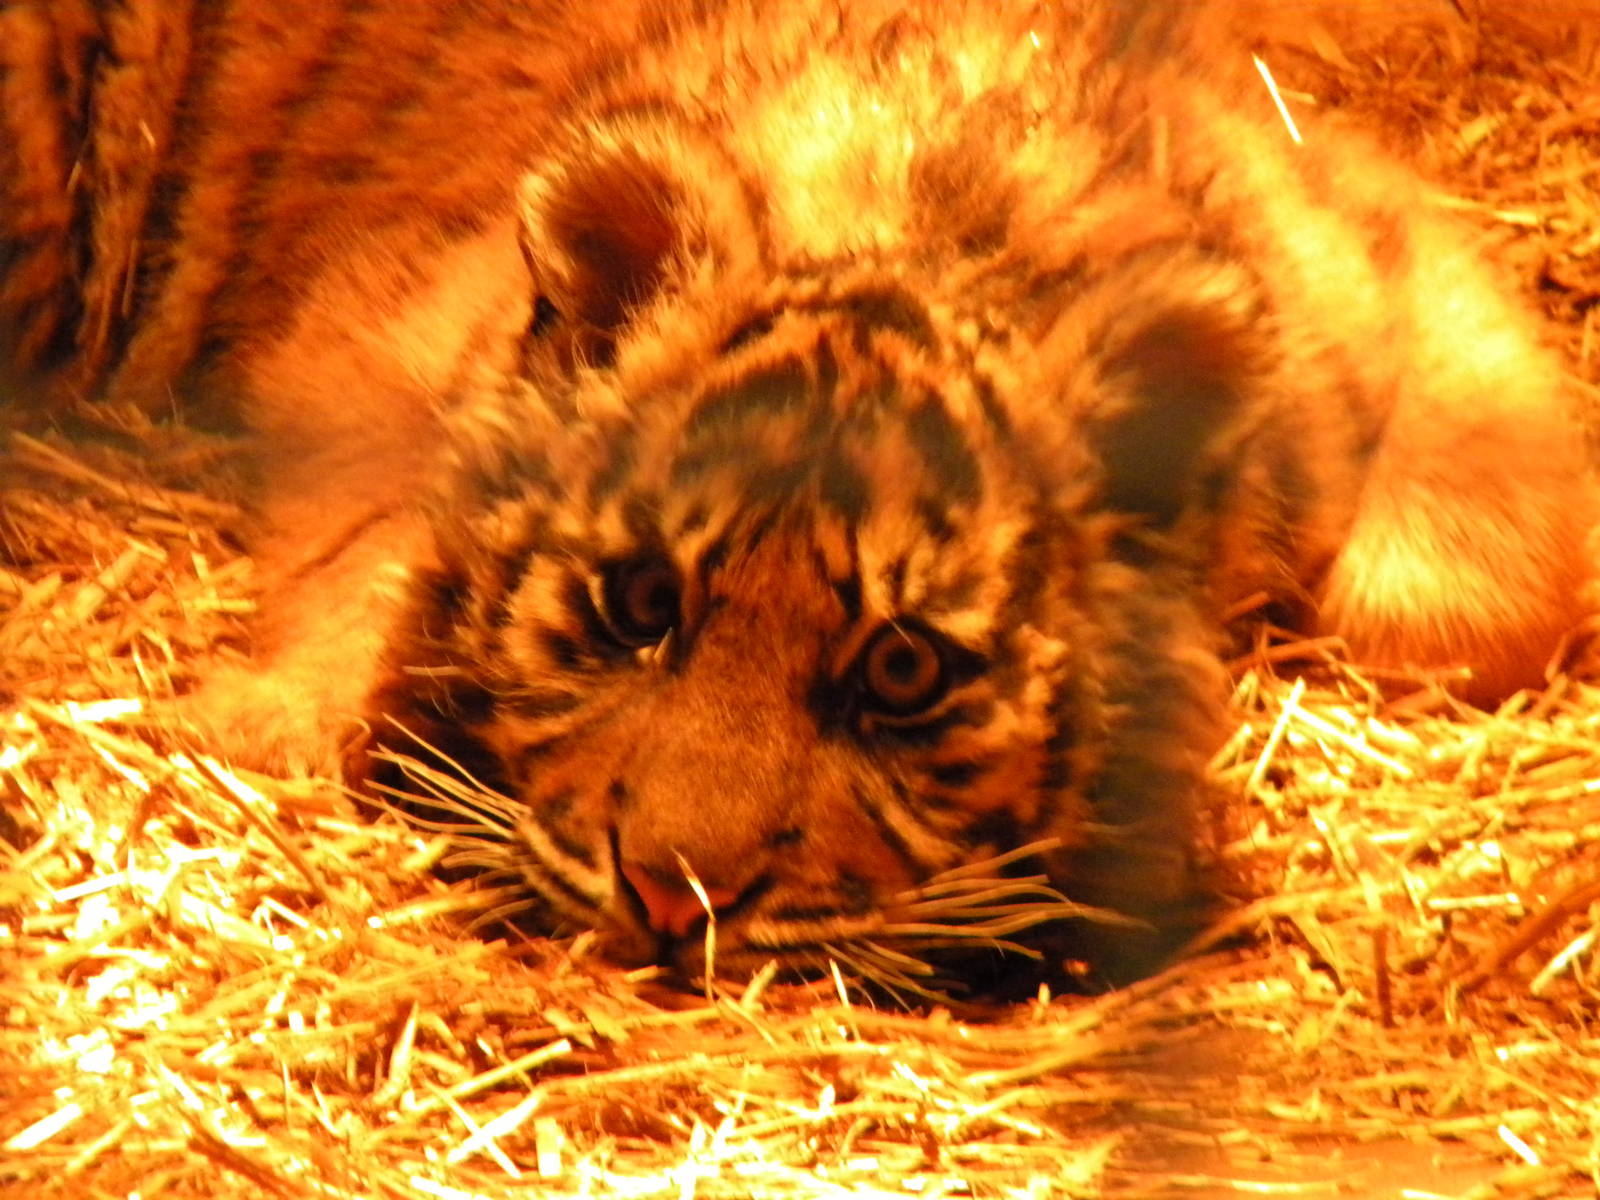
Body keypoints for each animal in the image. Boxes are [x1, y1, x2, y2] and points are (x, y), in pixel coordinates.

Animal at [2, 0, 1594, 995]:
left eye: (900, 671)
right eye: (641, 603)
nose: (668, 899)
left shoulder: (1380, 259)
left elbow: (1454, 601)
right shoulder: (374, 335)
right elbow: (375, 552)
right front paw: (254, 728)